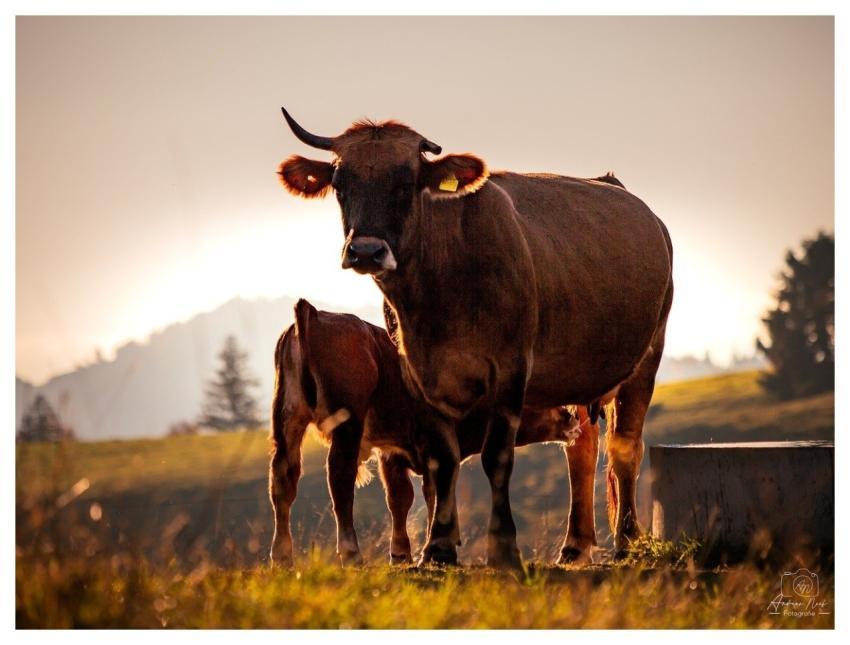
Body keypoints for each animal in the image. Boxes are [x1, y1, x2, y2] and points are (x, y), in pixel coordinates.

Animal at [269, 299, 598, 565]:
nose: (574, 419)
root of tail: (313, 314)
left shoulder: (394, 453)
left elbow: (405, 498)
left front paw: (403, 554)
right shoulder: (429, 448)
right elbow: (435, 490)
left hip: (288, 421)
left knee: (283, 478)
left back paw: (282, 557)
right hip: (346, 426)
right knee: (340, 478)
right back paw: (351, 553)